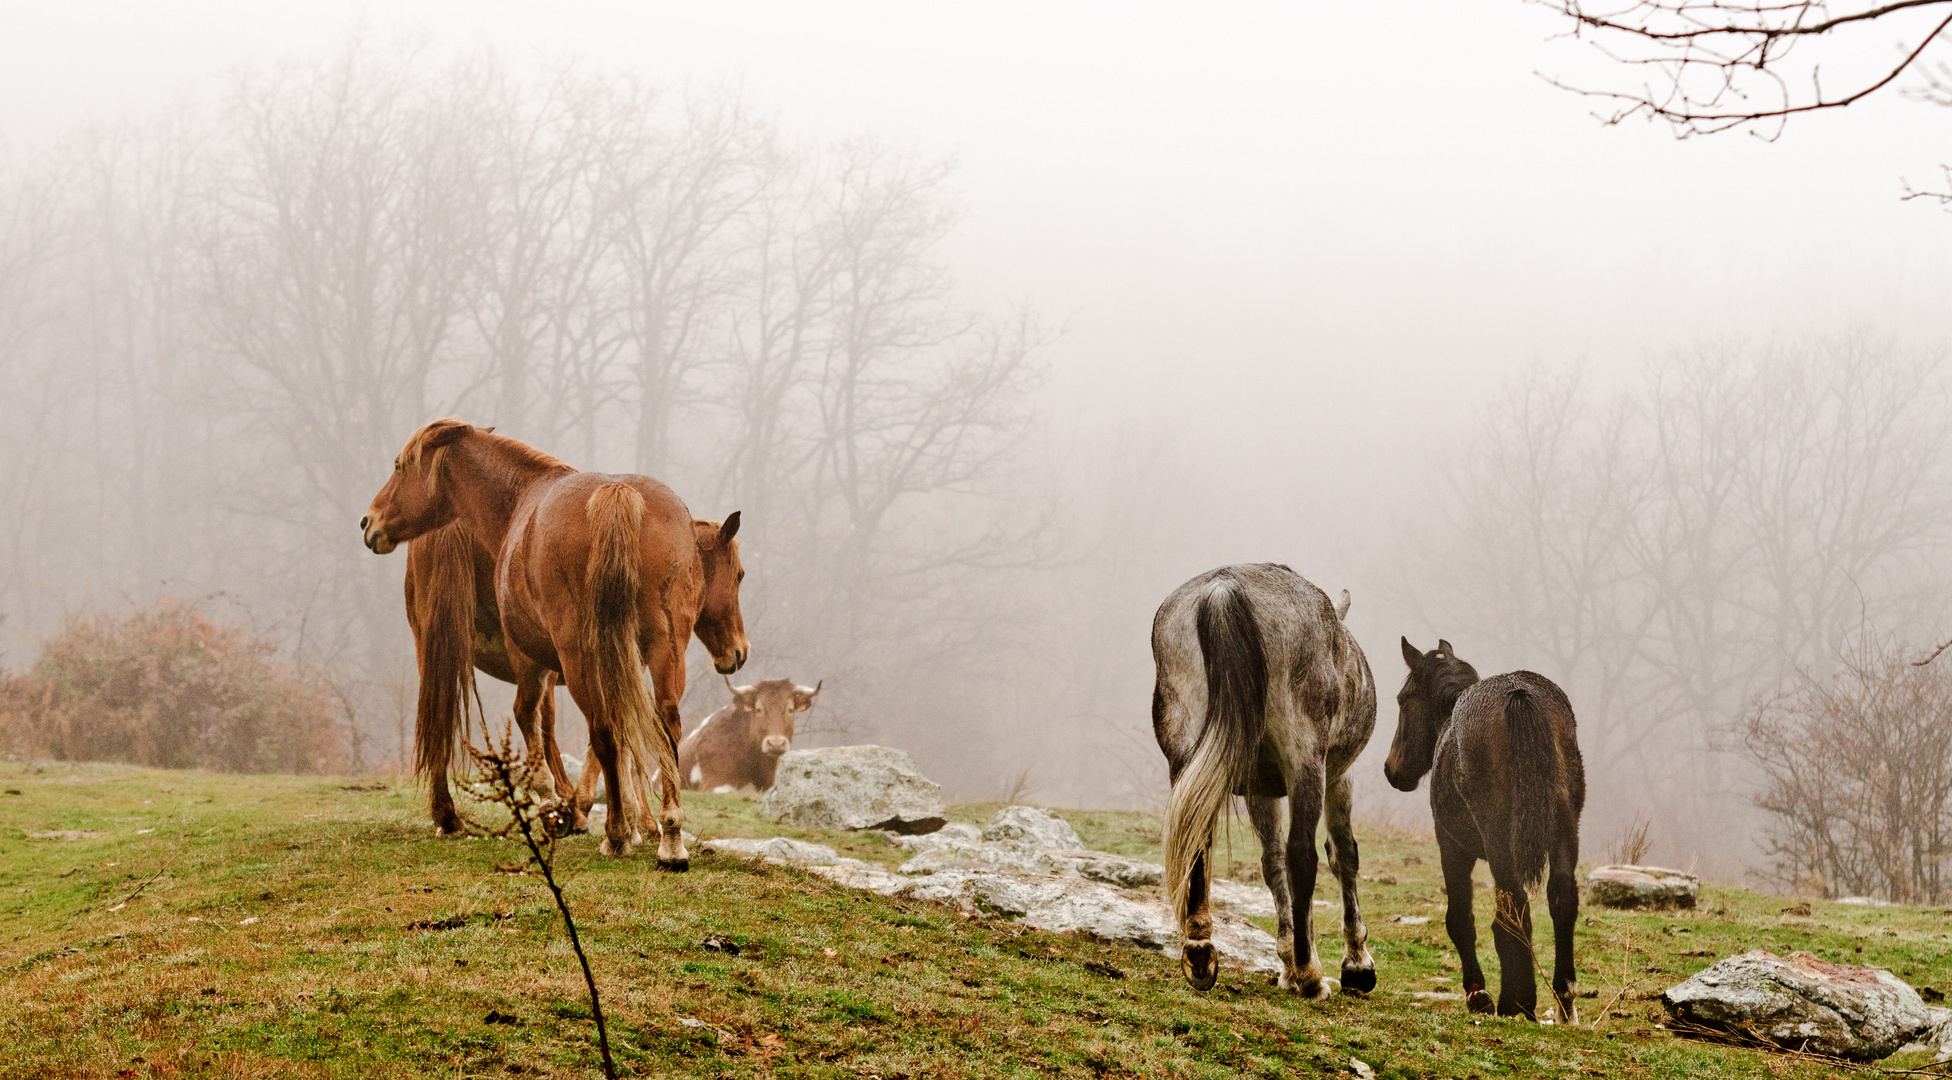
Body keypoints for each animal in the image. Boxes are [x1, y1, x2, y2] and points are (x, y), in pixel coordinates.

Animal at [361, 421, 745, 867]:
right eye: (739, 575)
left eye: (399, 466)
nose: (368, 522)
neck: (520, 498)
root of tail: (618, 494)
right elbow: (617, 736)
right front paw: (622, 819)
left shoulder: (535, 660)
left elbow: (541, 722)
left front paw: (570, 807)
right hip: (656, 651)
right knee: (662, 725)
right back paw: (665, 838)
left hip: (569, 655)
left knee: (602, 728)